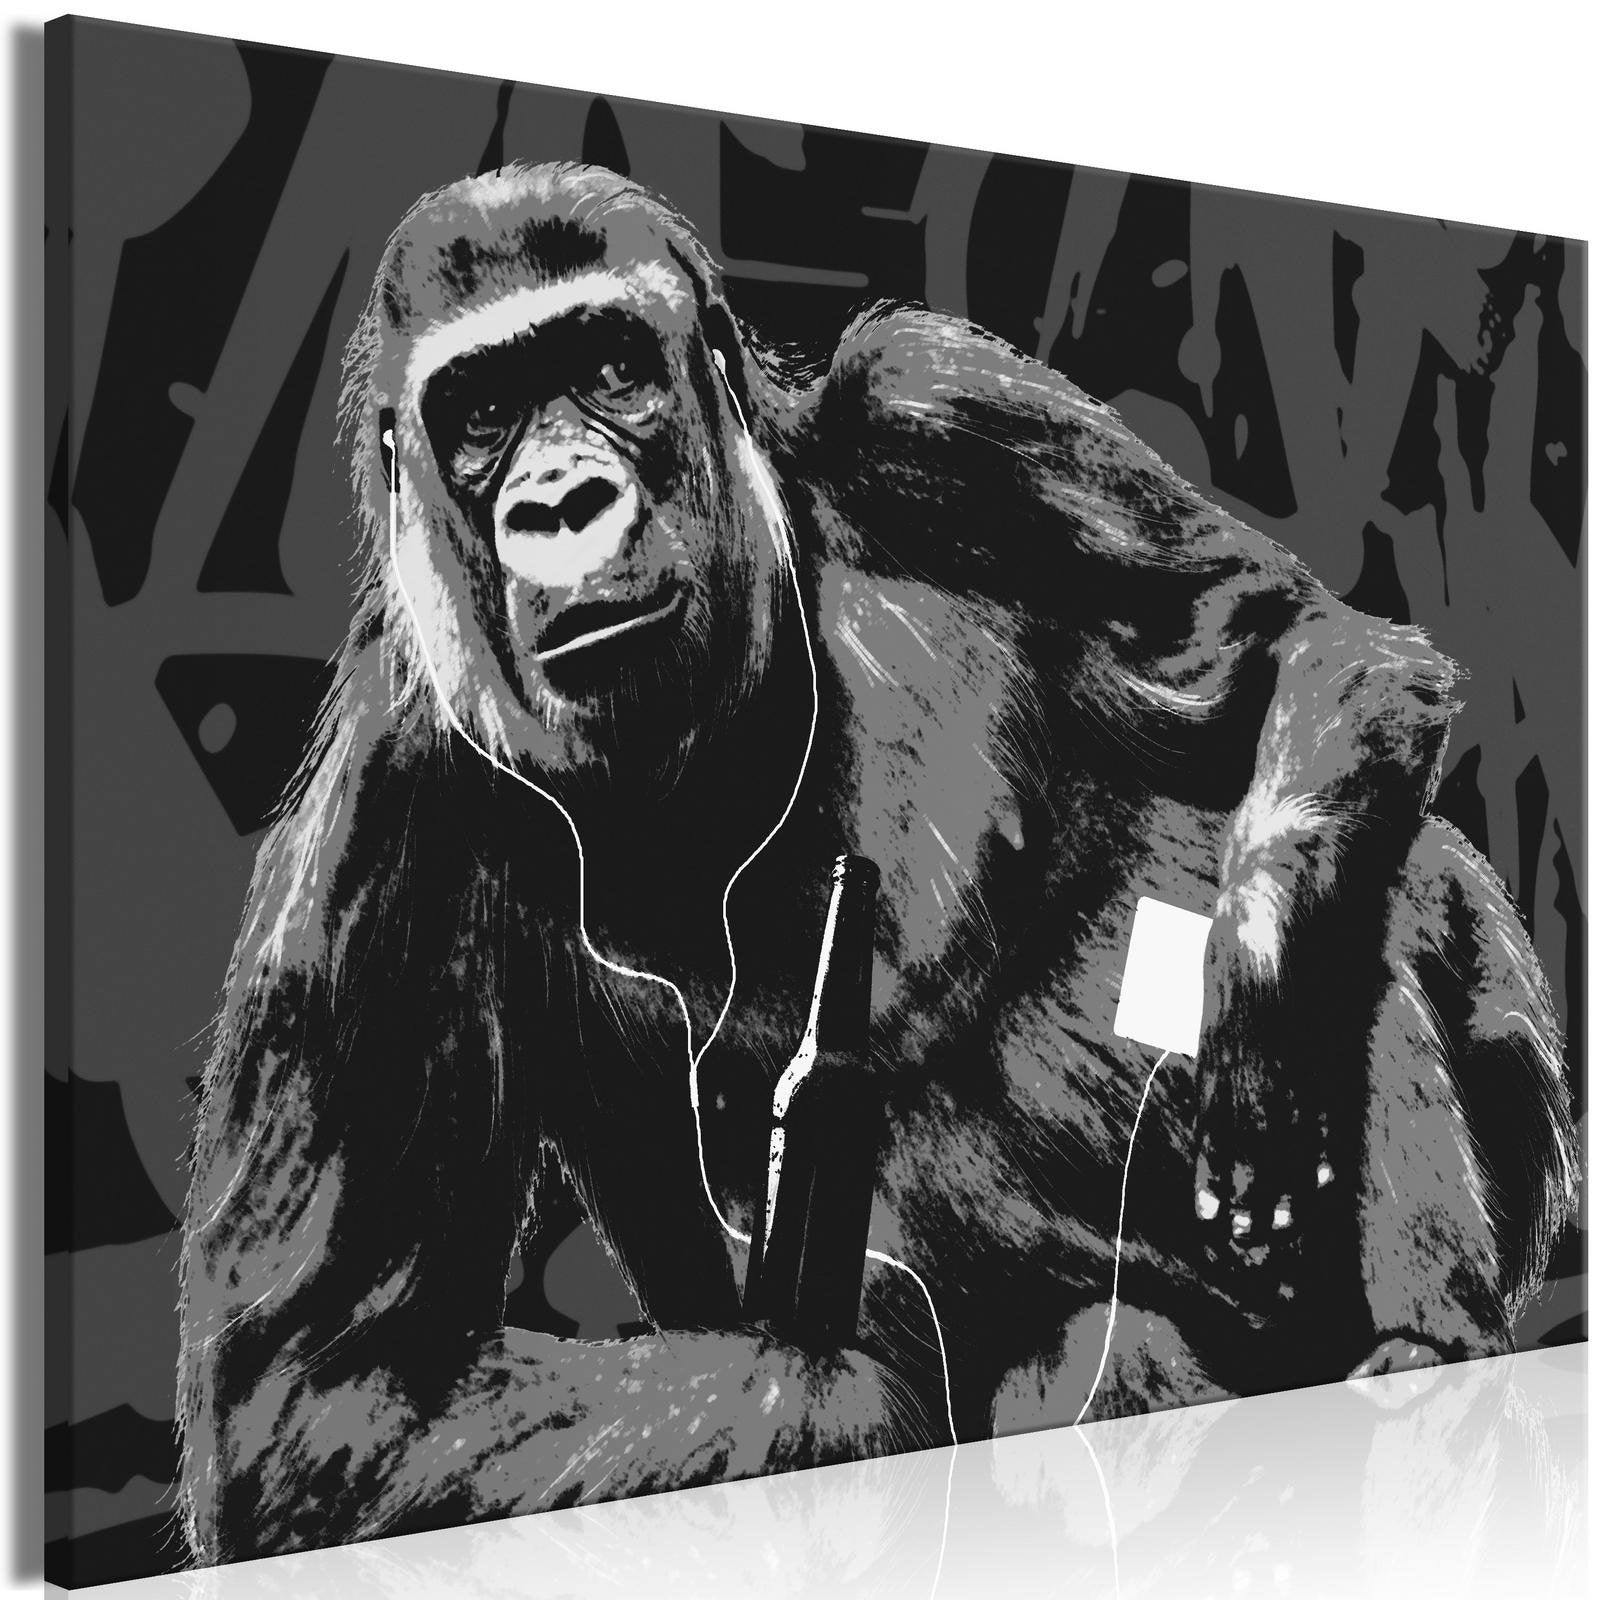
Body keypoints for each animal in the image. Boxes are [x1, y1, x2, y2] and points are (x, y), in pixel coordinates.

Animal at [176, 161, 1577, 1563]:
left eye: (610, 366)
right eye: (478, 413)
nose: (559, 500)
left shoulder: (942, 406)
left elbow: (1292, 640)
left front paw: (1266, 976)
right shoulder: (390, 794)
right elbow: (324, 1396)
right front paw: (857, 1393)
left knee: (1381, 873)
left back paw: (1417, 1345)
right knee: (1092, 1362)